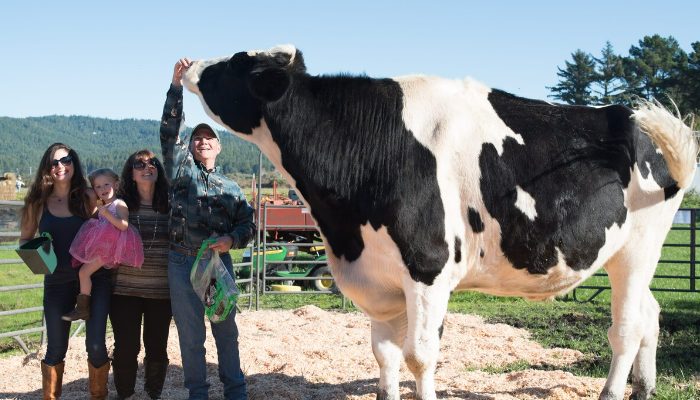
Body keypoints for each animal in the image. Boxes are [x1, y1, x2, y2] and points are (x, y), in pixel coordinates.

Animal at [183, 45, 696, 398]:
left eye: (235, 61)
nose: (188, 63)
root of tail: (632, 118)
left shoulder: (427, 269)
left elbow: (419, 356)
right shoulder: (381, 278)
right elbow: (385, 354)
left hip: (638, 250)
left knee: (627, 328)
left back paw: (614, 391)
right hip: (628, 255)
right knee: (650, 314)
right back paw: (645, 388)